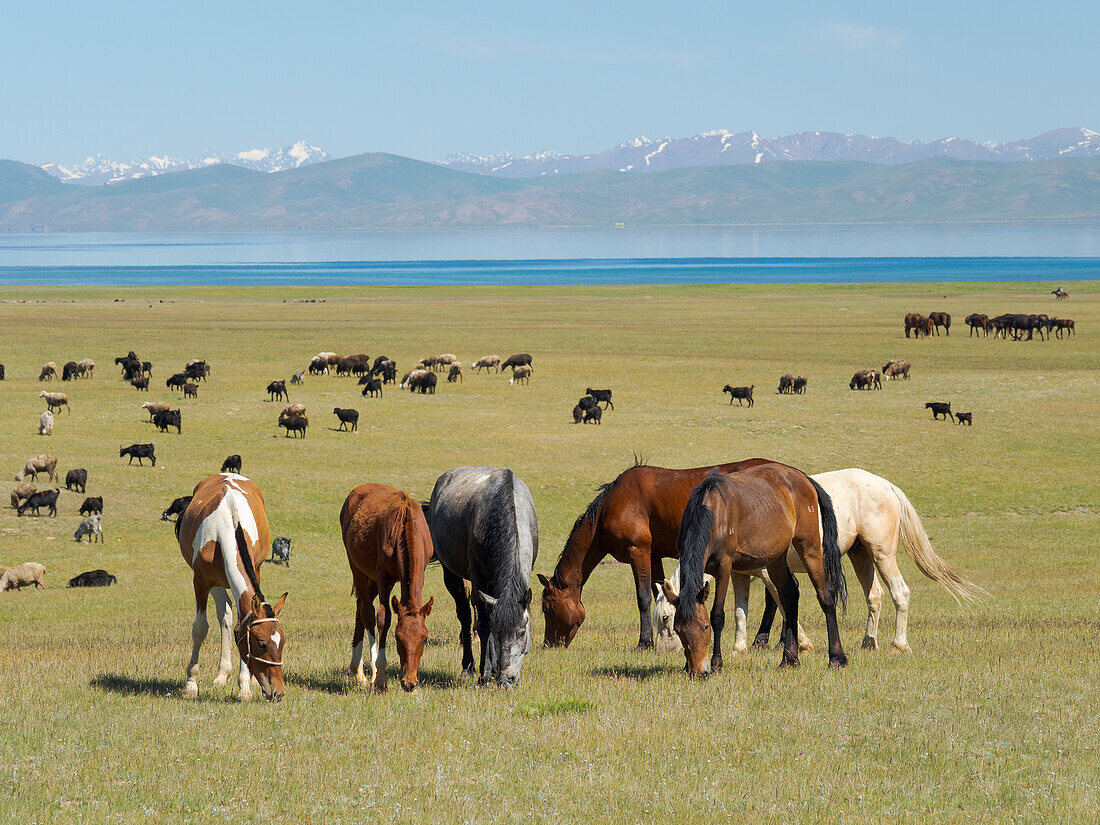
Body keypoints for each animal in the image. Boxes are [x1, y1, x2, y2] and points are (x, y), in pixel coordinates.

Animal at [177, 475, 288, 699]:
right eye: (261, 643)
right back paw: (221, 675)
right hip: (216, 583)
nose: (278, 692)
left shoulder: (256, 570)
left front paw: (245, 685)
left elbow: (241, 623)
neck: (228, 525)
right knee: (225, 614)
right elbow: (200, 628)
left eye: (283, 641)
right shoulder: (201, 581)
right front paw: (191, 684)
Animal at [338, 481, 433, 695]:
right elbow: (383, 618)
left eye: (424, 639)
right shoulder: (384, 578)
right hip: (357, 567)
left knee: (360, 607)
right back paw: (369, 672)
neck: (405, 526)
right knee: (367, 611)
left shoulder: (421, 572)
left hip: (371, 579)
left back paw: (357, 671)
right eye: (397, 638)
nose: (409, 683)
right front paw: (381, 678)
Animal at [424, 468, 536, 686]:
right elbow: (484, 625)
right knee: (465, 615)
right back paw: (468, 666)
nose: (506, 679)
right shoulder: (479, 579)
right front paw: (485, 674)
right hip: (453, 576)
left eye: (521, 632)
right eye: (498, 632)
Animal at [536, 462, 770, 651]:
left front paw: (644, 642)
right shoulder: (654, 557)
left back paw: (761, 639)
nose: (549, 644)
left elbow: (643, 598)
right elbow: (658, 593)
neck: (610, 507)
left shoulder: (638, 552)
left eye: (546, 608)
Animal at [660, 468, 849, 673]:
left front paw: (717, 663)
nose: (699, 671)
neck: (711, 511)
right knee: (789, 596)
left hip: (809, 546)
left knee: (826, 597)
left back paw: (836, 658)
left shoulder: (724, 567)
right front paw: (687, 666)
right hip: (777, 558)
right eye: (679, 630)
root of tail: (803, 478)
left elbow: (718, 615)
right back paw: (789, 659)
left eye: (705, 627)